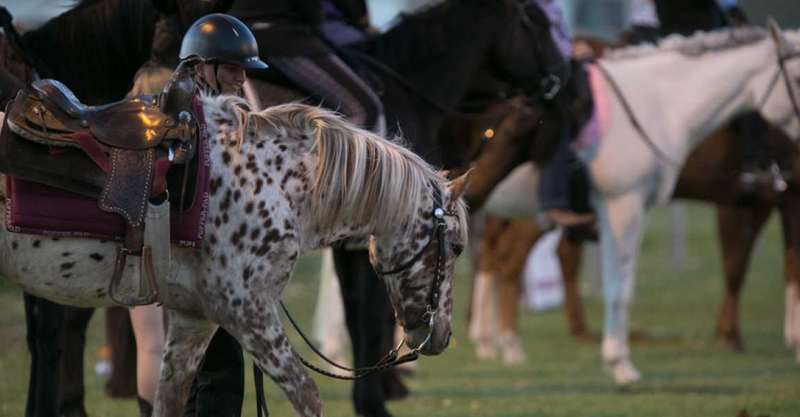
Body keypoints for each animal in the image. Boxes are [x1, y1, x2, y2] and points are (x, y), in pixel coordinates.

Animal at [0, 94, 470, 417]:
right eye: (457, 246)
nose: (442, 335)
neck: (275, 184)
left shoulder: (195, 318)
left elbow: (170, 398)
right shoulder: (247, 312)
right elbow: (306, 393)